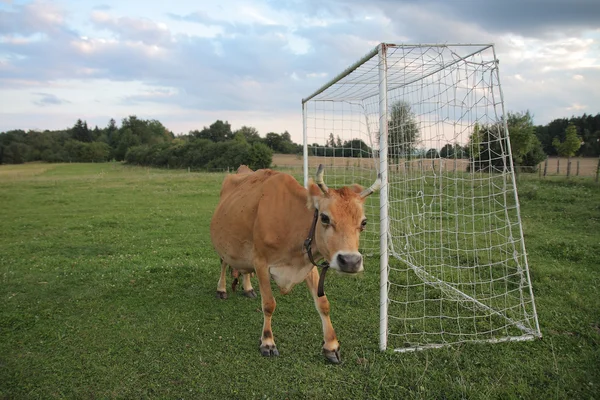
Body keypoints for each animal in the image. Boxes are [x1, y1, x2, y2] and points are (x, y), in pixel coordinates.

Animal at [210, 163, 380, 362]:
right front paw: (267, 342)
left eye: (364, 222)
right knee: (223, 264)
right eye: (324, 217)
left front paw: (331, 346)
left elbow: (323, 304)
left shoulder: (308, 263)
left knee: (245, 270)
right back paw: (221, 289)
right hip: (225, 245)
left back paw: (248, 288)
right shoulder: (261, 262)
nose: (350, 261)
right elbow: (268, 304)